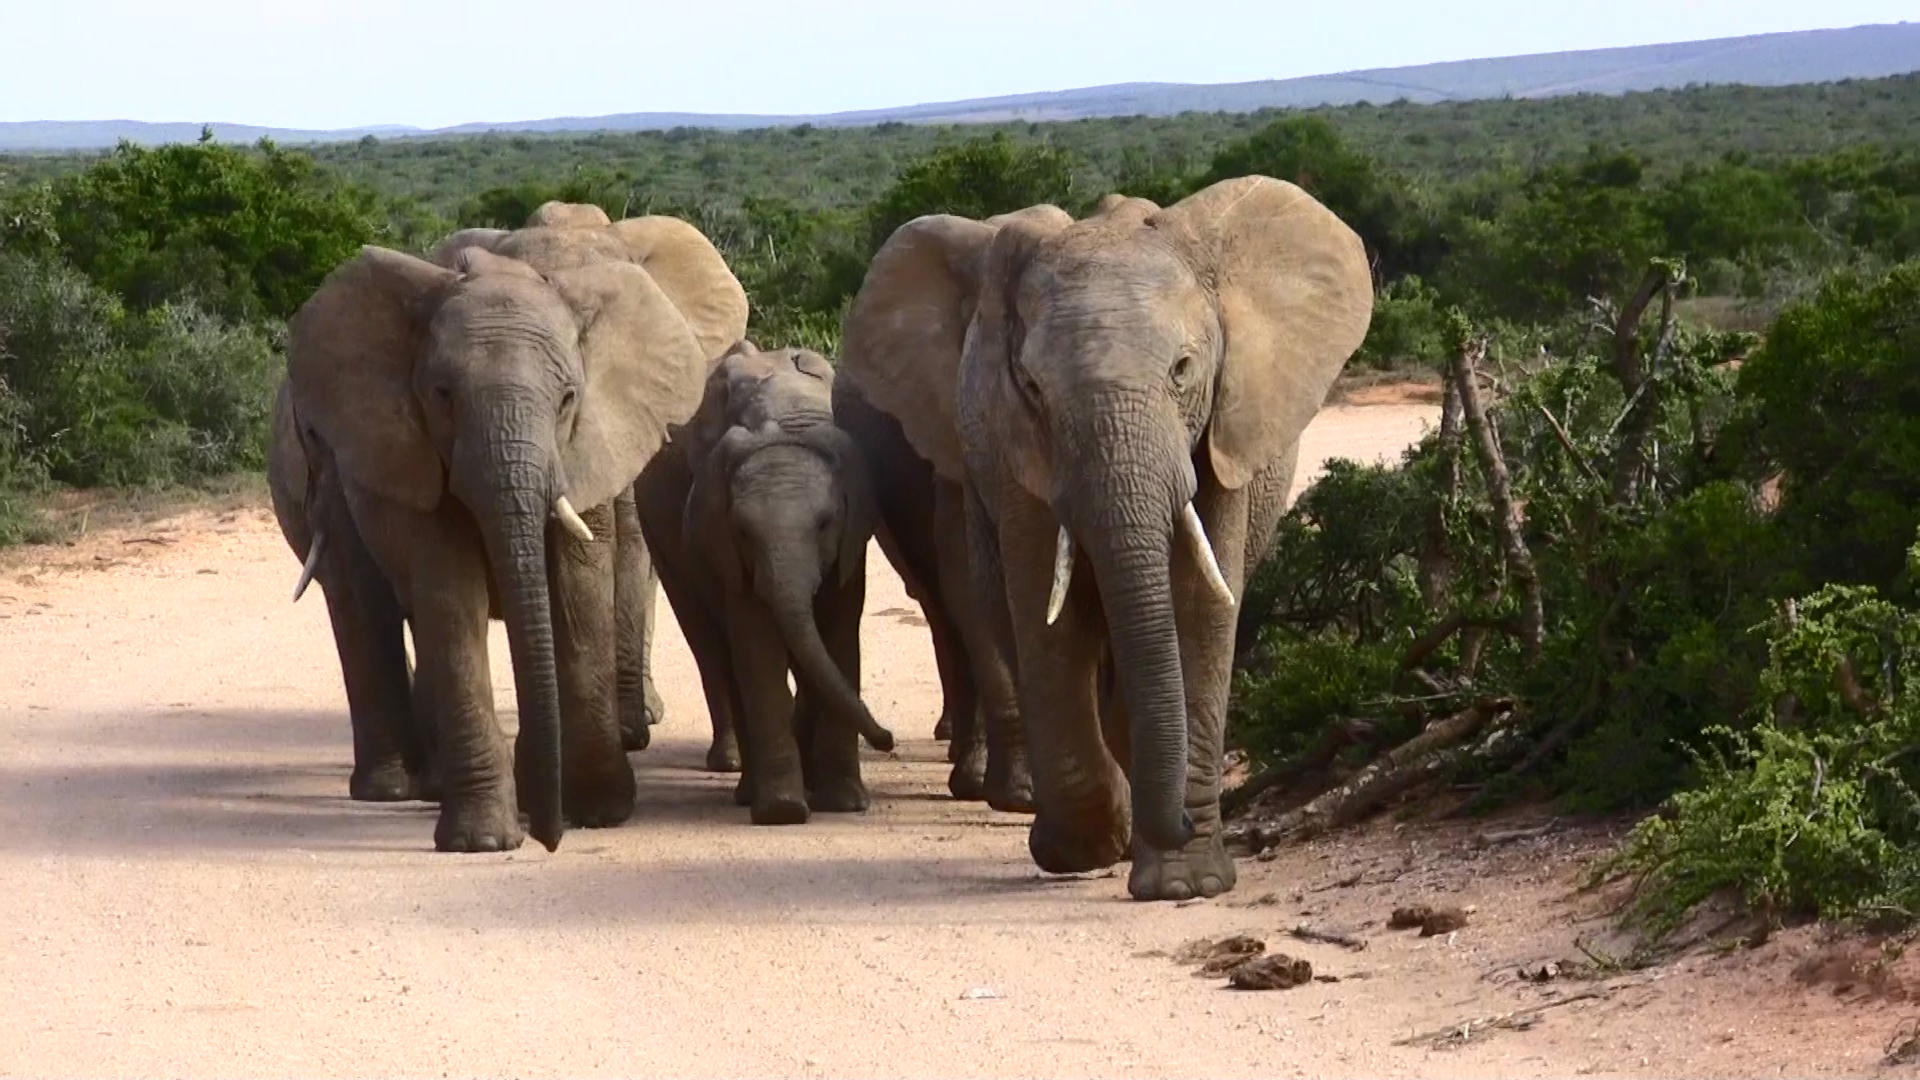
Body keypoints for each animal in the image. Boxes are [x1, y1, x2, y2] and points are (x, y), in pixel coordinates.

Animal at [284, 212, 748, 849]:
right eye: (442, 396)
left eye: (568, 398)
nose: (548, 839)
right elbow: (449, 592)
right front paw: (482, 841)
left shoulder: (603, 431)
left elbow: (580, 581)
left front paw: (596, 810)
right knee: (367, 602)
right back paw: (401, 789)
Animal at [633, 340, 894, 818]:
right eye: (743, 531)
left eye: (826, 523)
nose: (887, 739)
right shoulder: (721, 537)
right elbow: (755, 641)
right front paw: (784, 812)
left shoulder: (852, 536)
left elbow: (839, 632)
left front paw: (845, 804)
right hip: (662, 539)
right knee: (714, 647)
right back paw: (745, 786)